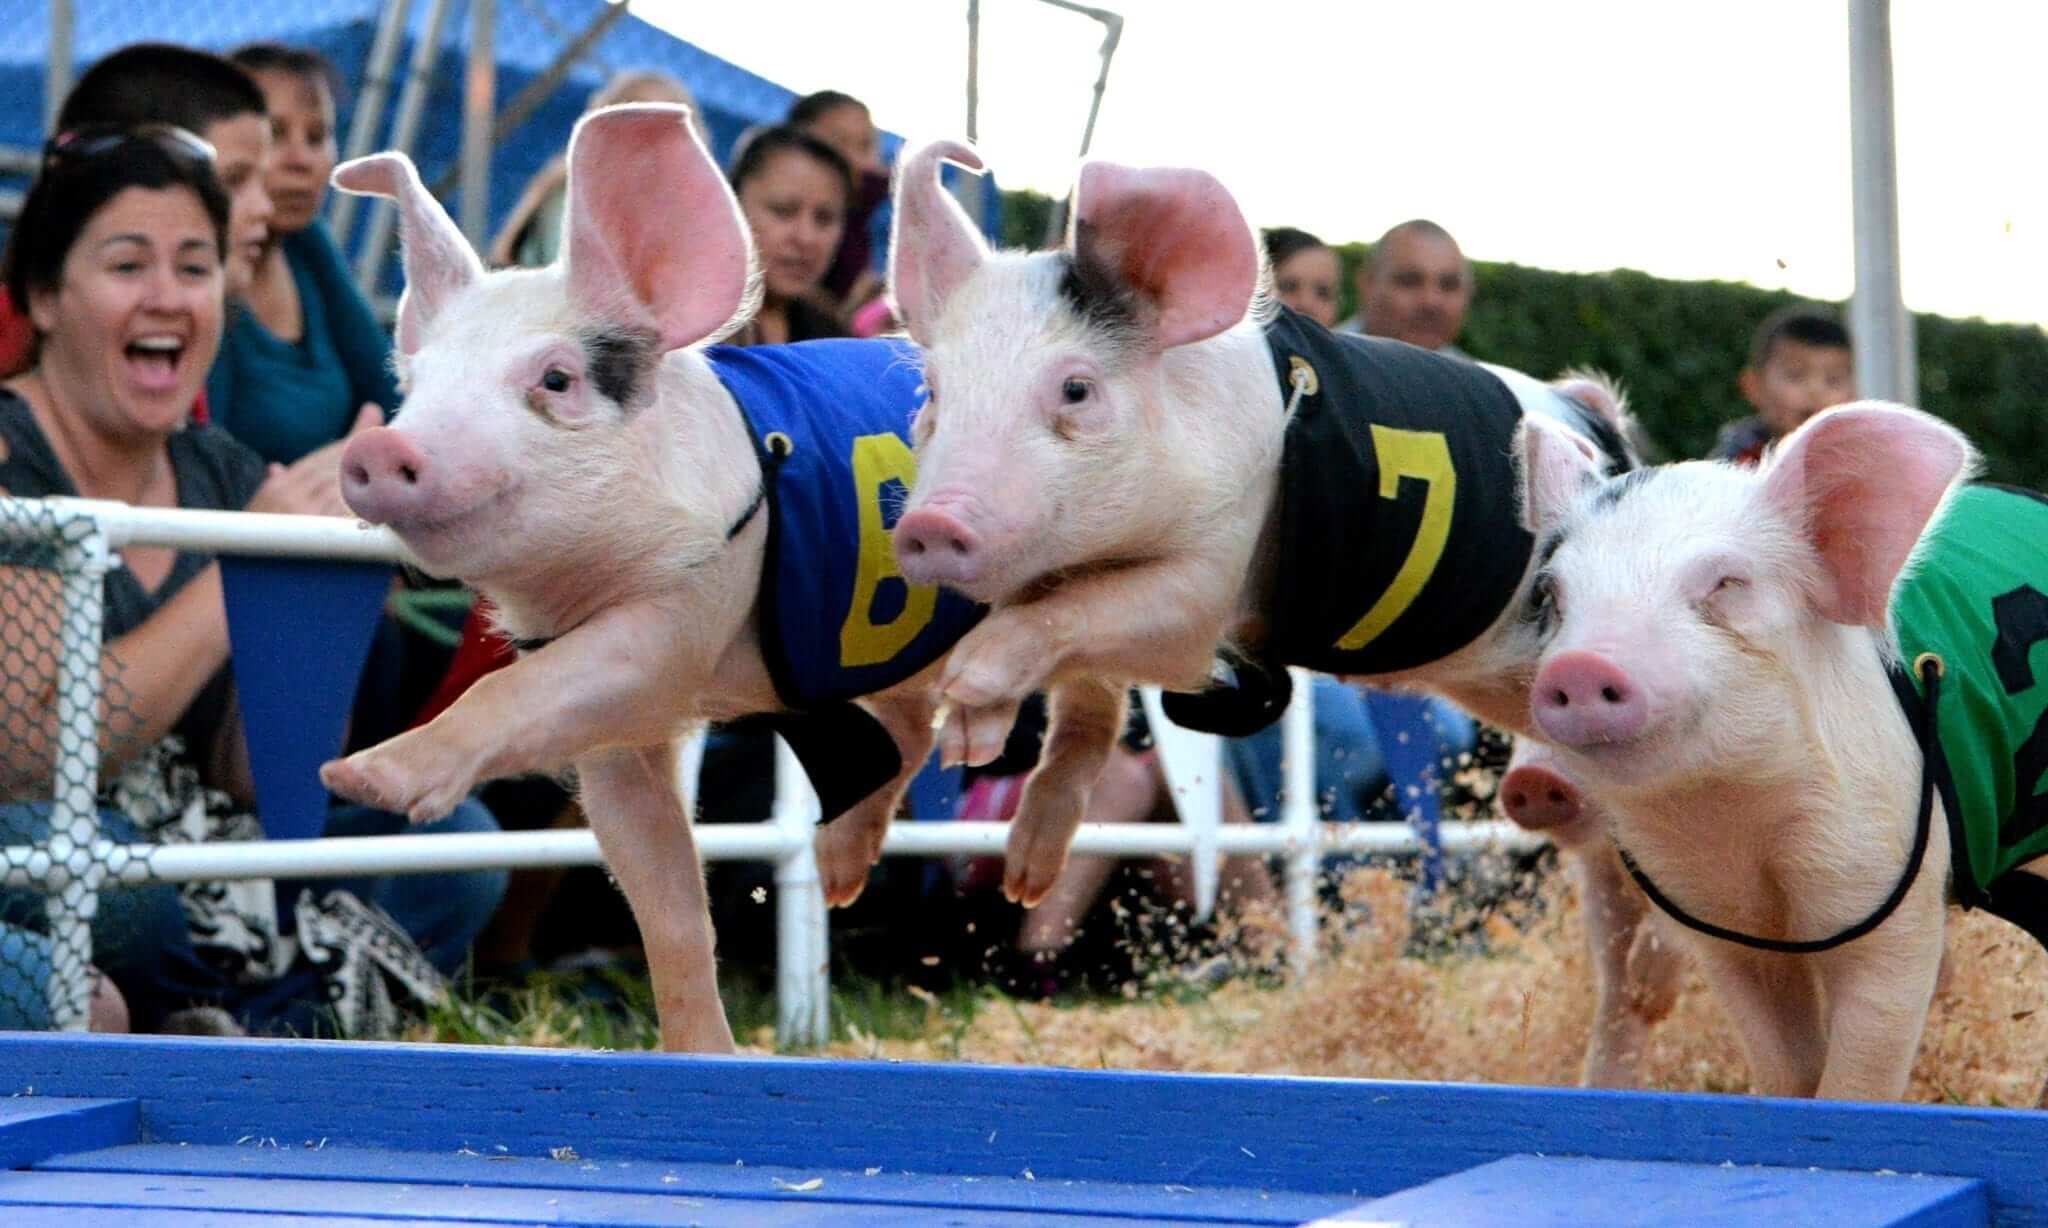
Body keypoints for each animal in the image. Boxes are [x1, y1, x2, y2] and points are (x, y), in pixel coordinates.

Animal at [313, 107, 1130, 1056]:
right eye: (414, 383)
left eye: (556, 380)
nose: (378, 447)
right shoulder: (622, 737)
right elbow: (666, 898)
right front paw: (705, 1054)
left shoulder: (678, 612)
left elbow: (514, 692)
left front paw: (360, 780)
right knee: (909, 734)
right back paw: (841, 876)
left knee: (1093, 704)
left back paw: (1024, 878)